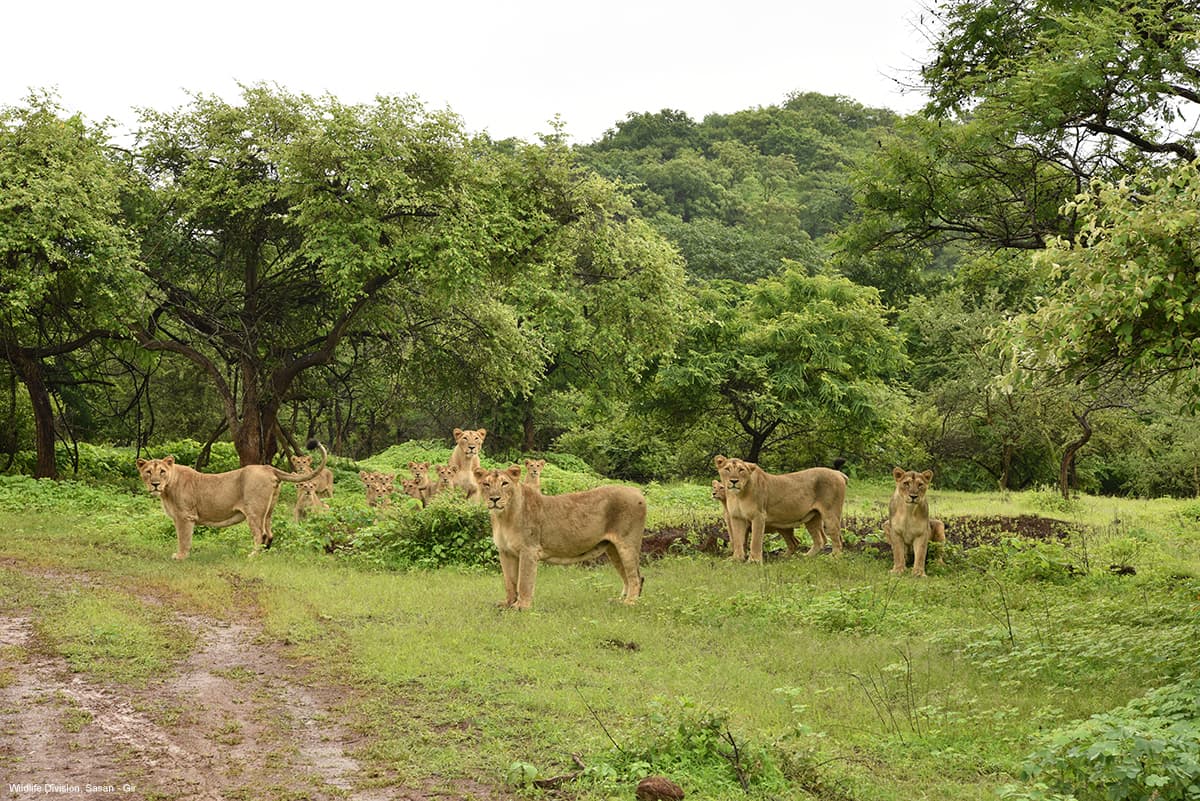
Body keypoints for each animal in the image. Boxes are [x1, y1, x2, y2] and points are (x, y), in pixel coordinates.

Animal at [137, 440, 329, 559]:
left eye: (162, 471)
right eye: (148, 472)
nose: (155, 484)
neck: (167, 488)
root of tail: (268, 468)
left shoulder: (185, 517)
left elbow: (183, 539)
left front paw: (181, 556)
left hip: (254, 511)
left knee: (260, 534)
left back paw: (252, 556)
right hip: (268, 510)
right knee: (270, 534)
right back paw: (264, 554)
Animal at [474, 465, 645, 610]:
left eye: (504, 483)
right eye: (486, 484)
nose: (494, 499)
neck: (504, 517)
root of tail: (638, 492)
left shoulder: (529, 550)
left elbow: (524, 581)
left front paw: (521, 606)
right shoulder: (505, 552)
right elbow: (509, 581)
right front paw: (507, 604)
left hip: (628, 544)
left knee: (635, 576)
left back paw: (630, 603)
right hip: (613, 549)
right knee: (629, 576)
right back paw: (618, 601)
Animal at [713, 456, 847, 563]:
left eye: (741, 470)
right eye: (727, 469)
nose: (734, 481)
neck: (738, 495)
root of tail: (837, 473)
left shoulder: (758, 516)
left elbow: (755, 541)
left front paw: (754, 561)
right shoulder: (737, 518)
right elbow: (737, 540)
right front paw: (736, 559)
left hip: (831, 513)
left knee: (837, 539)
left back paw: (833, 558)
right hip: (812, 518)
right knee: (820, 539)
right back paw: (804, 557)